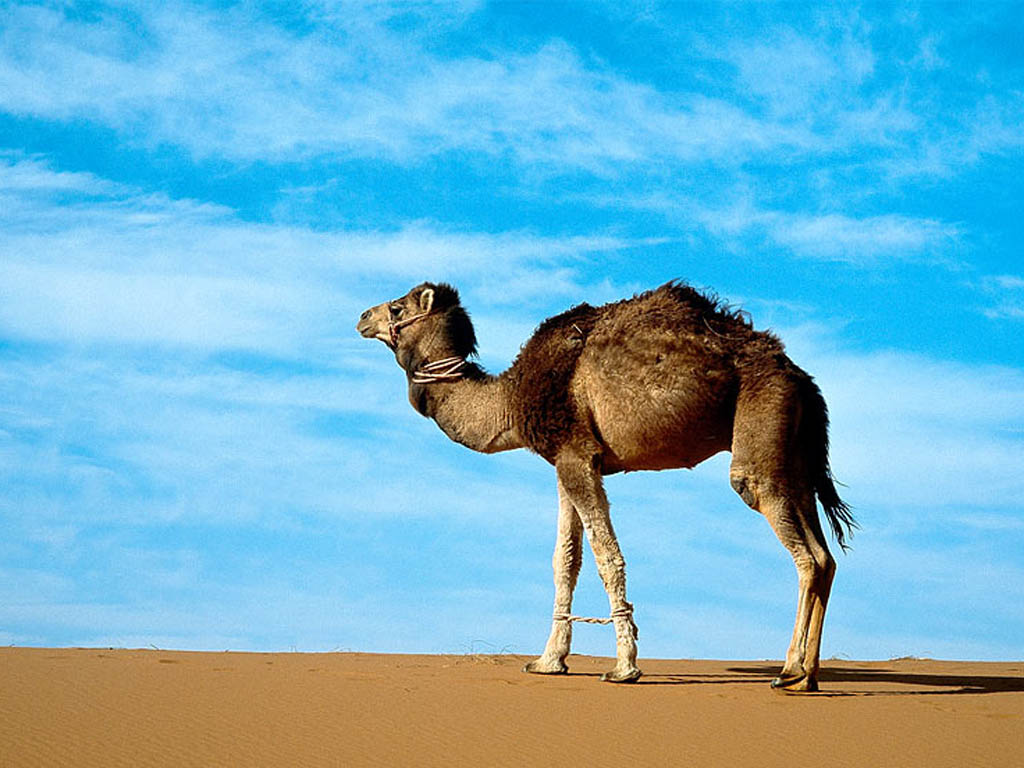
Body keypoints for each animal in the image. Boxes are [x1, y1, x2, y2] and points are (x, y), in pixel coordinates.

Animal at [357, 281, 854, 692]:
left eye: (397, 306)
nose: (362, 317)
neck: (509, 401)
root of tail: (800, 377)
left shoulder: (577, 455)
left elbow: (606, 557)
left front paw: (624, 667)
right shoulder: (566, 461)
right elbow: (565, 562)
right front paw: (548, 661)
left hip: (762, 420)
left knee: (800, 547)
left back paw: (788, 671)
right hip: (794, 453)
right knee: (826, 555)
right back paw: (808, 676)